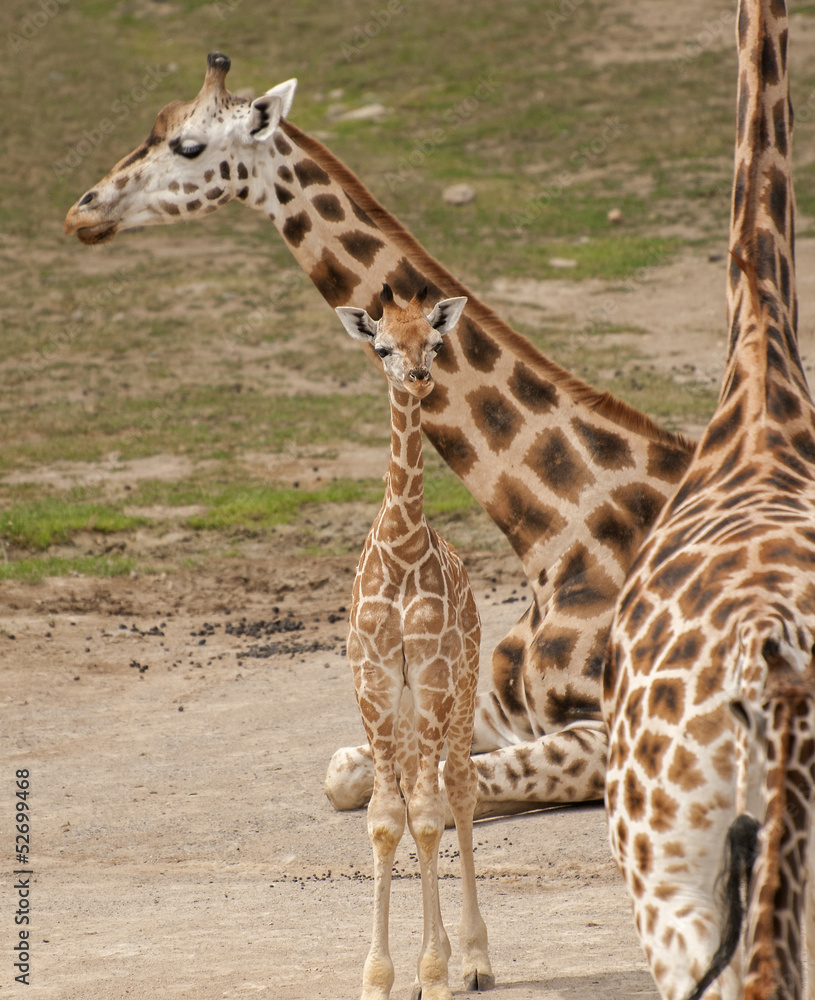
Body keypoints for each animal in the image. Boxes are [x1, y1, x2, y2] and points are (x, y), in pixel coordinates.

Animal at [63, 52, 696, 821]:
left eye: (188, 146)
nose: (82, 210)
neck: (557, 535)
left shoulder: (621, 732)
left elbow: (434, 784)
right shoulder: (487, 703)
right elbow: (345, 768)